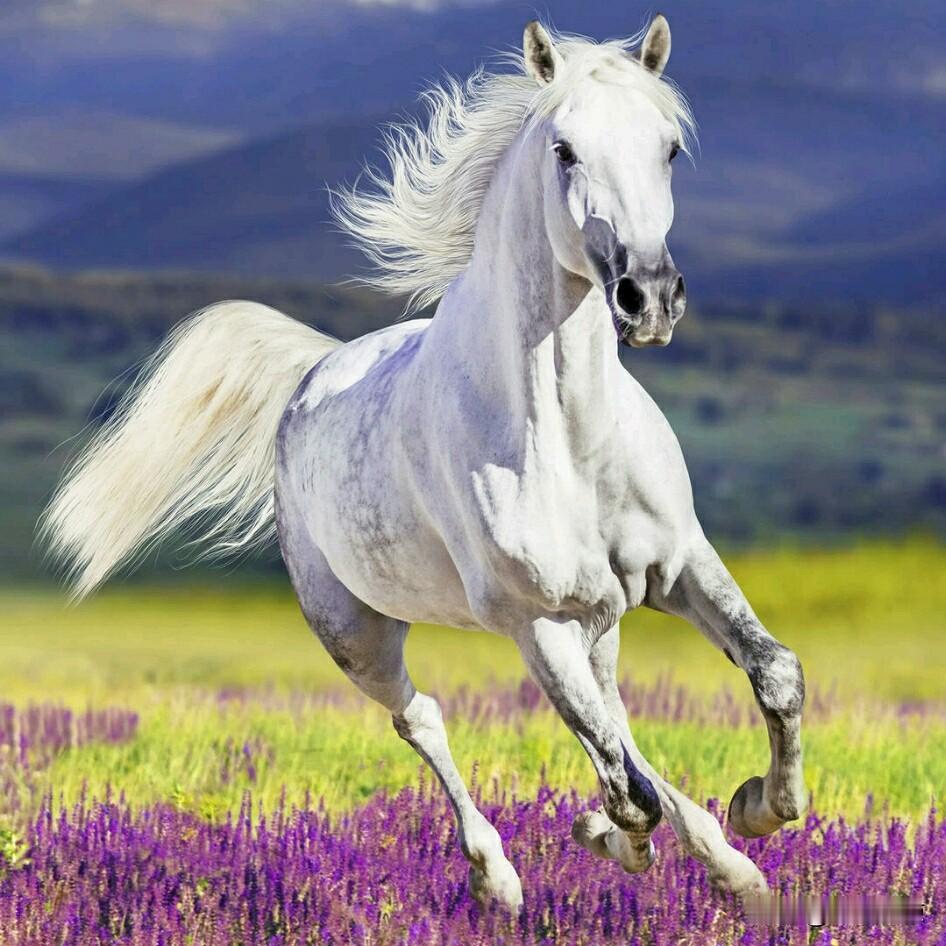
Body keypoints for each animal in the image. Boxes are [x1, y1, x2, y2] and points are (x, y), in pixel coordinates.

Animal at [42, 17, 807, 908]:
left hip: (600, 621)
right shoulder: (535, 622)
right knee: (427, 718)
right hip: (358, 632)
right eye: (564, 149)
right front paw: (611, 838)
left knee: (615, 717)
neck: (570, 441)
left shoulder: (678, 565)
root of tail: (313, 372)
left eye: (670, 147)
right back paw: (499, 877)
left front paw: (758, 812)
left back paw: (732, 868)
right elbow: (623, 787)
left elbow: (772, 674)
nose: (648, 298)